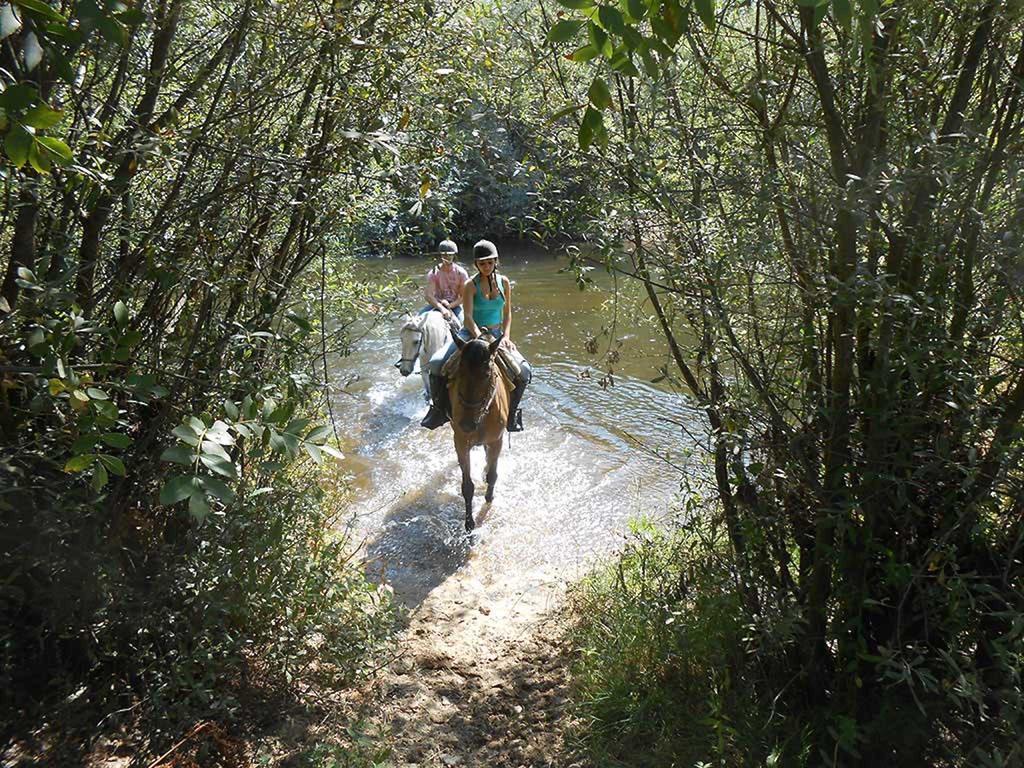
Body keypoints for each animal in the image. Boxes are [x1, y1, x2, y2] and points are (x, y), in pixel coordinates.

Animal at [450, 335, 509, 536]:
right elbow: (467, 486)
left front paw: (489, 498)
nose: (467, 425)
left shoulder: (496, 441)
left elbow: (493, 475)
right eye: (458, 373)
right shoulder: (460, 442)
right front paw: (469, 524)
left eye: (486, 375)